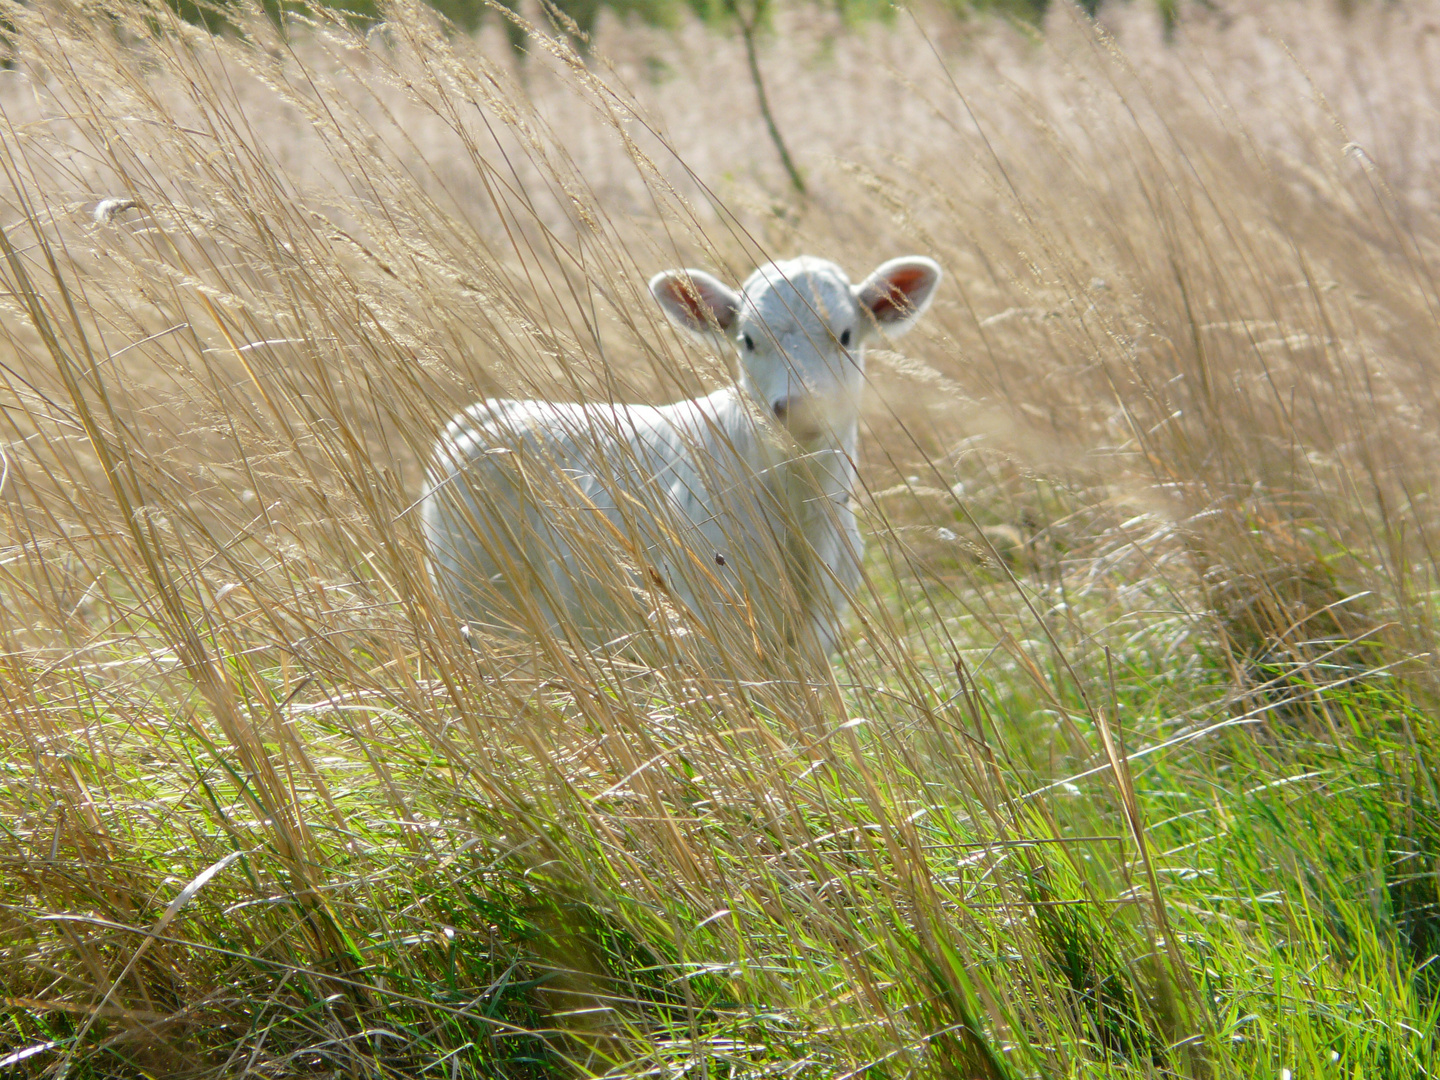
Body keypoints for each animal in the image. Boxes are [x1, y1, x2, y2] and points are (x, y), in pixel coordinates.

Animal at [420, 256, 944, 659]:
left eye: (845, 335)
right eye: (747, 339)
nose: (797, 408)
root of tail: (491, 410)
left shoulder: (817, 635)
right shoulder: (720, 627)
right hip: (479, 602)